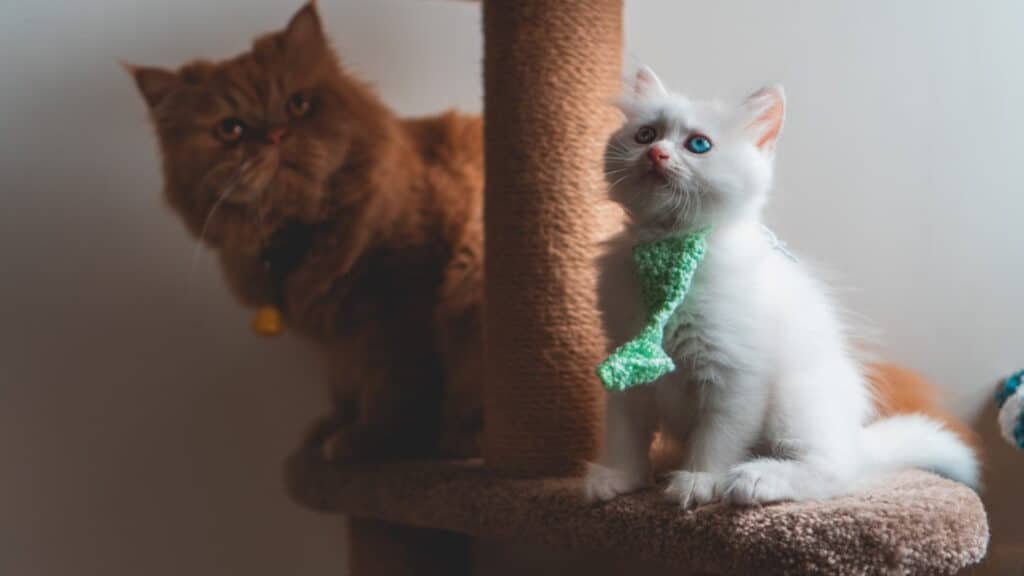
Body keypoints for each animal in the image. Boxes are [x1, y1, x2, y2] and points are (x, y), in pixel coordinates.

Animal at [131, 2, 483, 463]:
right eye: (231, 129)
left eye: (298, 104)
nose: (277, 134)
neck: (302, 232)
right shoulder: (339, 343)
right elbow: (345, 392)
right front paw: (327, 433)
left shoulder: (395, 309)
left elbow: (392, 390)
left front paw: (366, 441)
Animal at [585, 68, 974, 506]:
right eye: (646, 135)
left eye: (698, 145)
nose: (656, 154)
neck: (667, 246)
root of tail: (856, 441)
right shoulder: (626, 361)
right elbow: (625, 434)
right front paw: (618, 479)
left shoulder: (735, 372)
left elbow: (717, 438)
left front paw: (700, 482)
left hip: (796, 397)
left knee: (834, 473)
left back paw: (757, 479)